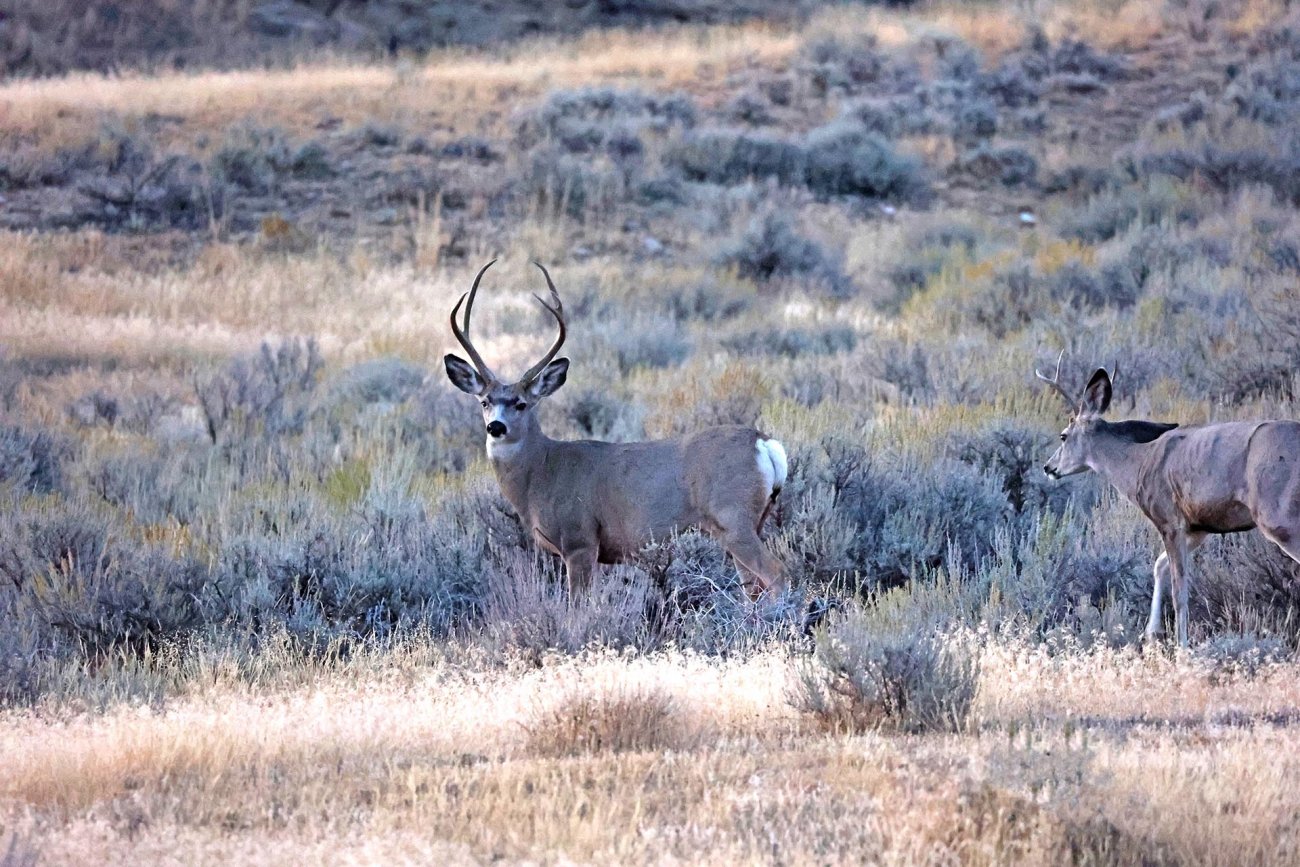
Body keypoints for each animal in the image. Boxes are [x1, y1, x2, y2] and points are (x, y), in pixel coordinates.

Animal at [443, 260, 790, 601]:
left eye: (521, 403)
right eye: (485, 402)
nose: (496, 427)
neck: (542, 473)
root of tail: (764, 443)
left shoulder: (579, 538)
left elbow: (578, 606)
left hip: (733, 516)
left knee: (778, 574)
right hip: (750, 522)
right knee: (753, 587)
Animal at [1036, 354, 1300, 647]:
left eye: (1063, 435)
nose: (1048, 467)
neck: (1138, 465)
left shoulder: (1168, 519)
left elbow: (1179, 592)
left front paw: (1181, 647)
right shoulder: (1197, 527)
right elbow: (1159, 565)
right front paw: (1151, 634)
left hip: (1280, 517)